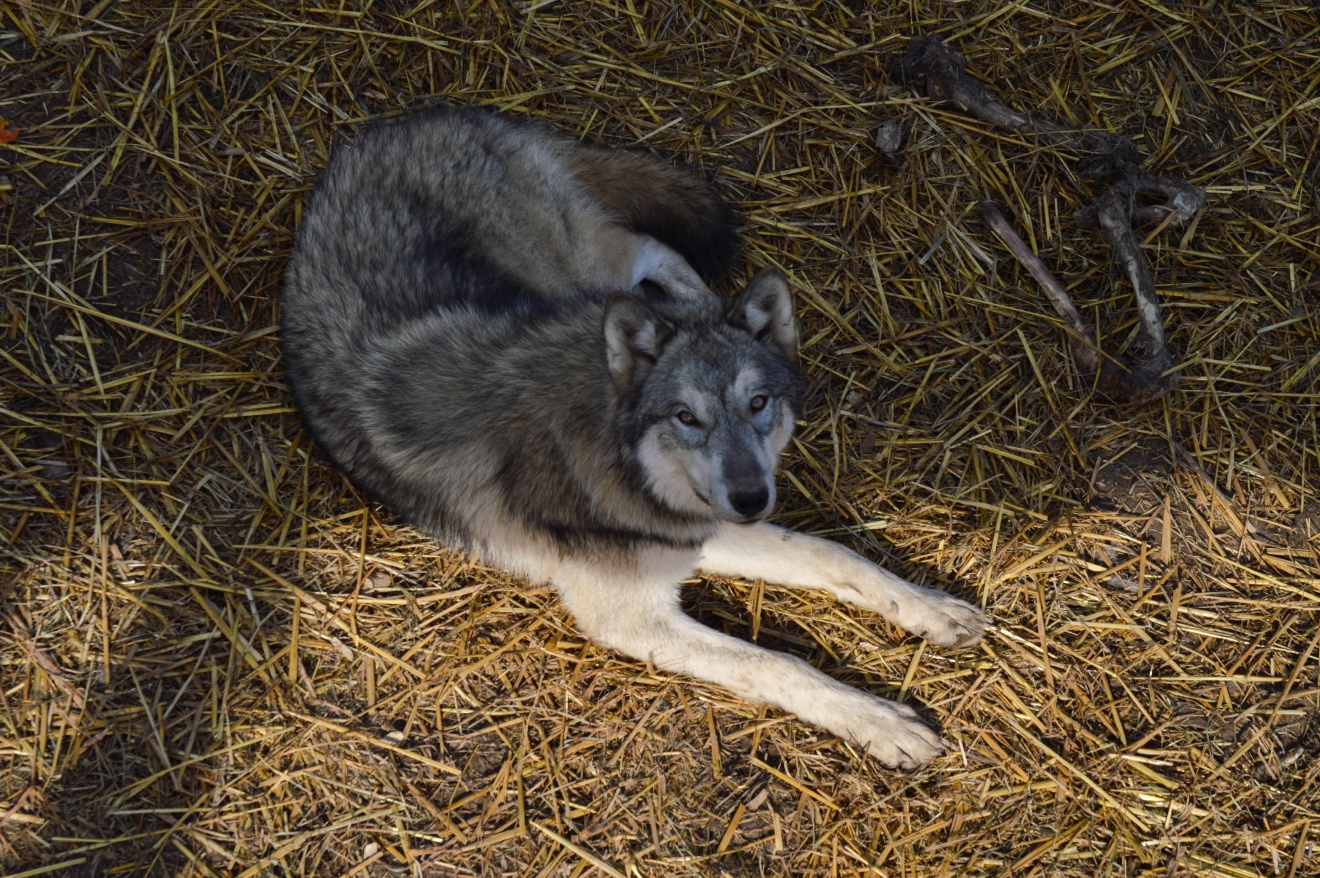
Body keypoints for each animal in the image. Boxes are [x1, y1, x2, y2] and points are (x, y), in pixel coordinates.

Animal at [281, 107, 986, 768]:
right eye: (686, 418)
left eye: (758, 404)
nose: (752, 498)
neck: (614, 453)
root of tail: (412, 118)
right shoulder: (636, 607)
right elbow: (778, 663)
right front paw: (883, 722)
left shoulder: (695, 529)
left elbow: (834, 557)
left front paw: (933, 610)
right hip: (583, 269)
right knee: (640, 257)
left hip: (582, 269)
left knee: (651, 252)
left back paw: (705, 305)